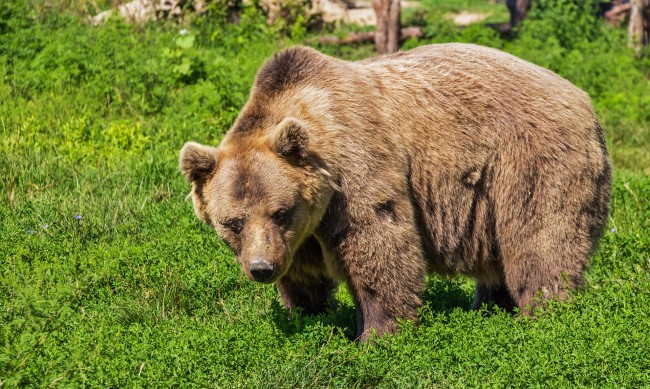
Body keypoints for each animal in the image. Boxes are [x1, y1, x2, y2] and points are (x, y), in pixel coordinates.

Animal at [177, 42, 608, 340]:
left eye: (280, 211)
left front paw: (376, 334)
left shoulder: (356, 169)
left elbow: (379, 244)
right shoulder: (300, 235)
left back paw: (546, 313)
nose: (261, 268)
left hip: (529, 161)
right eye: (233, 222)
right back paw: (489, 308)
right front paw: (307, 314)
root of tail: (584, 98)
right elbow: (303, 275)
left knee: (540, 240)